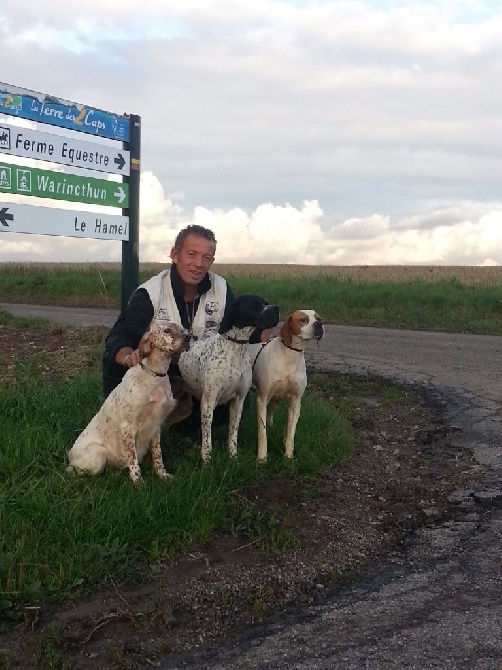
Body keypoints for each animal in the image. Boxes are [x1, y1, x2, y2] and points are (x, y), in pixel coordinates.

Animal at [66, 324, 190, 486]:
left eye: (182, 329)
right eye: (167, 330)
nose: (189, 337)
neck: (155, 375)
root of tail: (70, 455)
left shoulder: (156, 425)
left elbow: (158, 456)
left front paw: (163, 475)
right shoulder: (128, 428)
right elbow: (133, 460)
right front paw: (138, 483)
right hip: (98, 456)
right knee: (74, 472)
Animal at [177, 296, 280, 464]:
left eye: (265, 302)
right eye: (254, 304)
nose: (276, 308)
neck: (235, 348)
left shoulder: (238, 400)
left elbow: (233, 432)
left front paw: (233, 456)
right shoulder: (208, 401)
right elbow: (208, 436)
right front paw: (206, 459)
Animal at [248, 312, 326, 464]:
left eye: (318, 318)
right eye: (303, 320)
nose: (319, 324)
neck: (290, 355)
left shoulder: (295, 402)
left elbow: (291, 433)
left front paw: (288, 456)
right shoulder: (262, 399)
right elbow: (262, 433)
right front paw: (262, 457)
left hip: (275, 399)